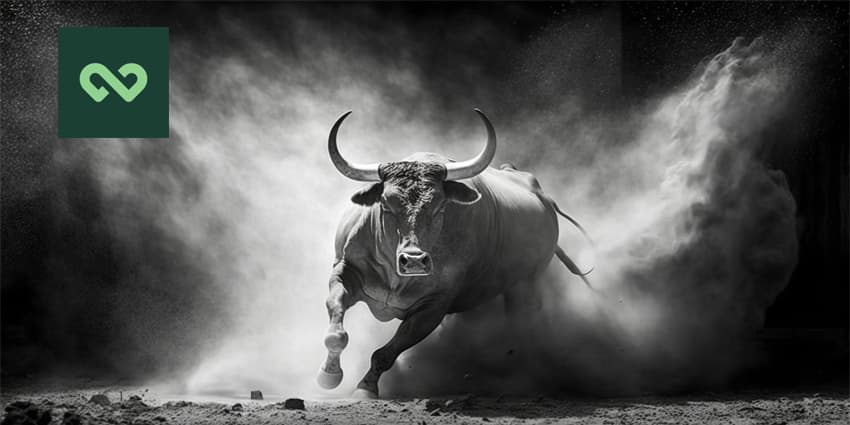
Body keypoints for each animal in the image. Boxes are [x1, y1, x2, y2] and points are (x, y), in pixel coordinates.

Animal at [317, 109, 592, 398]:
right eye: (385, 204)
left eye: (439, 206)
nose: (414, 261)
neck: (396, 276)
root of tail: (544, 199)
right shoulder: (344, 271)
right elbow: (336, 329)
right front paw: (329, 375)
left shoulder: (434, 307)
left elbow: (387, 352)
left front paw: (366, 387)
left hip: (526, 286)